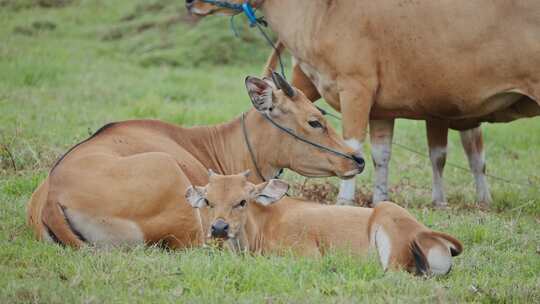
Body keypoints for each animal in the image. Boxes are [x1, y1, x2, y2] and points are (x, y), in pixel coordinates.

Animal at [187, 171, 464, 276]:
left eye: (242, 201)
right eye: (208, 201)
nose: (219, 228)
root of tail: (427, 232)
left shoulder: (306, 255)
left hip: (389, 227)